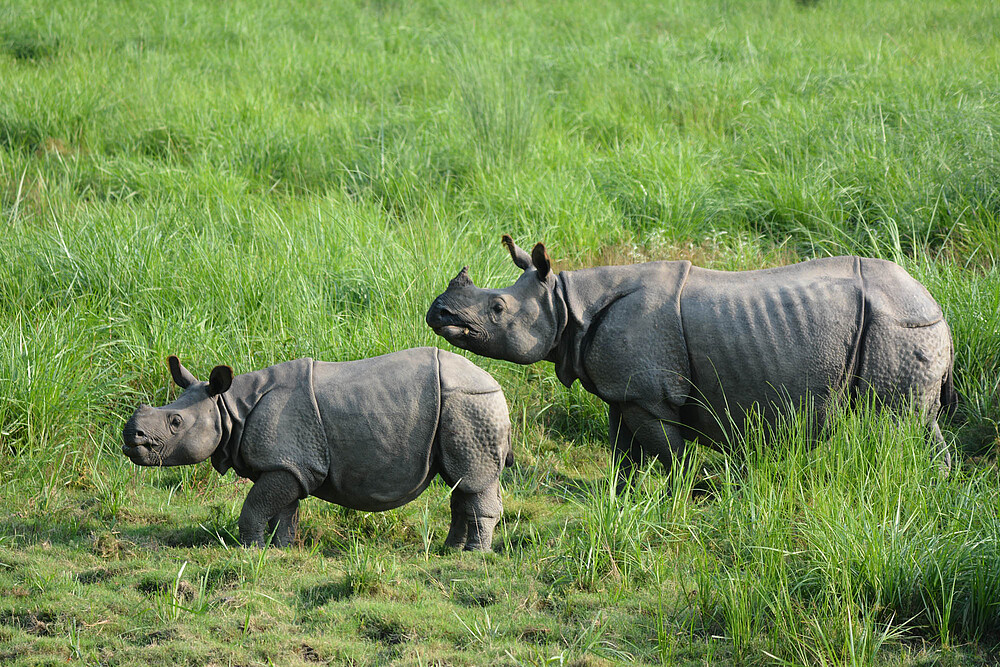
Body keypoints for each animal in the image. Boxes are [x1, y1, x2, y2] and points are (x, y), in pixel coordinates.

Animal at [122, 348, 512, 551]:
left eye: (175, 422)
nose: (131, 437)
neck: (229, 408)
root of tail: (496, 383)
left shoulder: (289, 463)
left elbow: (254, 507)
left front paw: (250, 549)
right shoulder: (287, 463)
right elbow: (283, 511)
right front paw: (282, 549)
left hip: (469, 402)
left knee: (472, 479)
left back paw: (474, 555)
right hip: (464, 404)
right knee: (462, 482)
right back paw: (451, 551)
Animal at [426, 236, 956, 481]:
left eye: (497, 309)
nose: (439, 311)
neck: (566, 303)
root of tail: (934, 304)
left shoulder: (651, 395)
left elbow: (670, 455)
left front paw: (685, 496)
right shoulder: (626, 393)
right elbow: (623, 453)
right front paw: (620, 500)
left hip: (898, 326)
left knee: (898, 423)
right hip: (902, 324)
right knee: (916, 423)